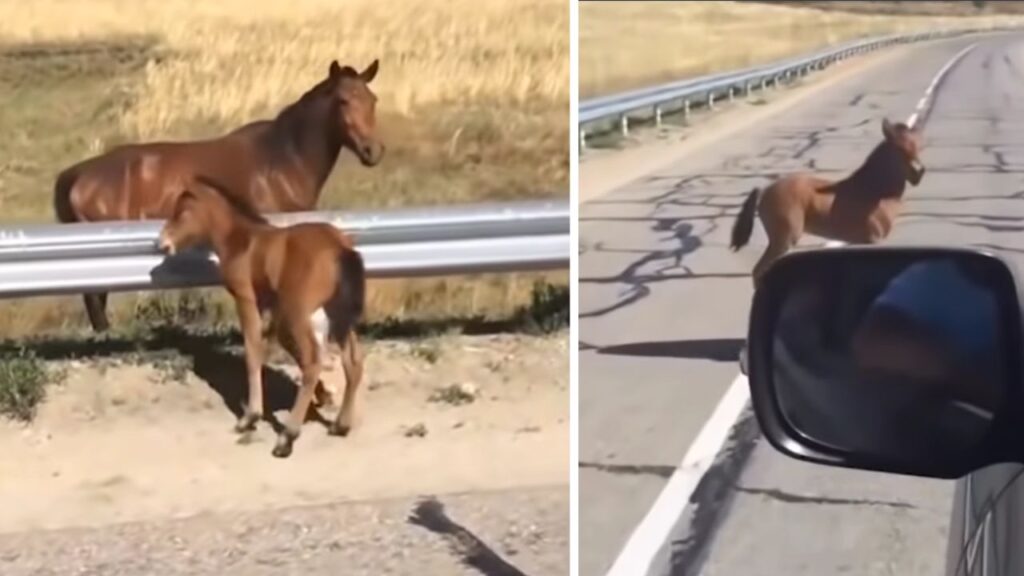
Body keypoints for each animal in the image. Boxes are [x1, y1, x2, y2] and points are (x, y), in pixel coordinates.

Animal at [157, 177, 366, 455]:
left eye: (181, 211)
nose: (161, 243)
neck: (242, 242)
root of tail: (341, 248)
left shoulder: (246, 298)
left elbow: (253, 350)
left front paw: (250, 418)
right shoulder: (274, 309)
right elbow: (283, 347)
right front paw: (323, 397)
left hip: (299, 313)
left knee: (314, 362)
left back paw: (287, 438)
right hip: (336, 315)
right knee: (353, 362)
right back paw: (340, 425)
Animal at [729, 116, 929, 286]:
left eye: (917, 146)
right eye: (899, 148)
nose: (919, 173)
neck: (873, 192)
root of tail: (765, 190)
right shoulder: (873, 239)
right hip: (784, 240)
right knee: (758, 270)